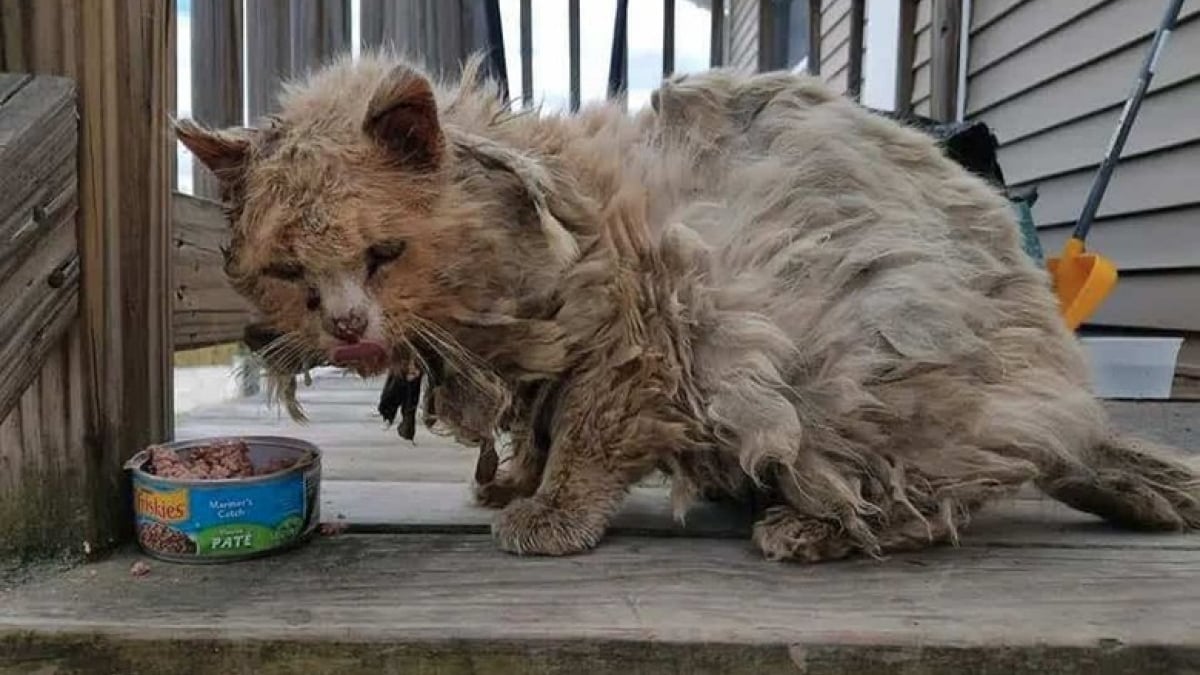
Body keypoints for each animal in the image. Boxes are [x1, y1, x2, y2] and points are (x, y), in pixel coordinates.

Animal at [174, 49, 1195, 559]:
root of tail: (1070, 405)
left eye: (384, 255)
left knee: (931, 502)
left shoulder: (643, 344)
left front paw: (547, 518)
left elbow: (583, 444)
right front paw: (513, 484)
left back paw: (805, 527)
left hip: (872, 375)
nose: (347, 327)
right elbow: (538, 431)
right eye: (288, 272)